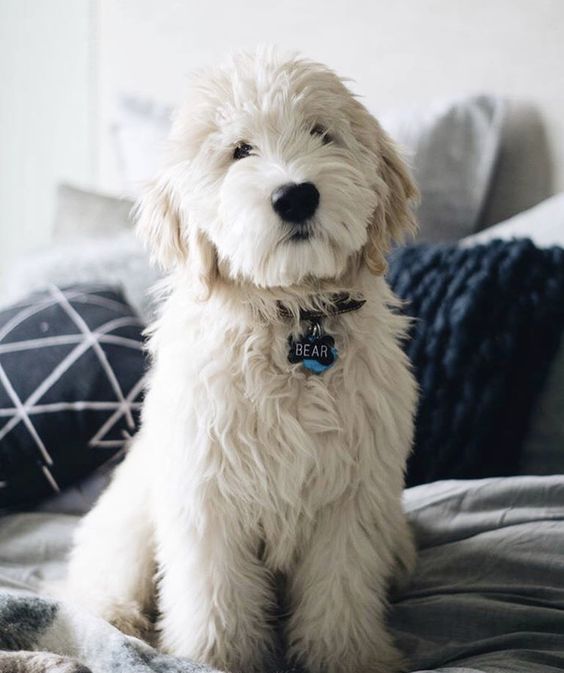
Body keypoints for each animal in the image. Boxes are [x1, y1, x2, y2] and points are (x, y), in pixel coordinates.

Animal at [65, 48, 418, 672]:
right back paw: (113, 616)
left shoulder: (352, 500)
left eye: (321, 133)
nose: (296, 195)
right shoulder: (207, 494)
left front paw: (347, 656)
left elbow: (341, 590)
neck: (290, 315)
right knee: (94, 575)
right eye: (240, 151)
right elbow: (215, 597)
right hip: (130, 516)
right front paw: (214, 658)